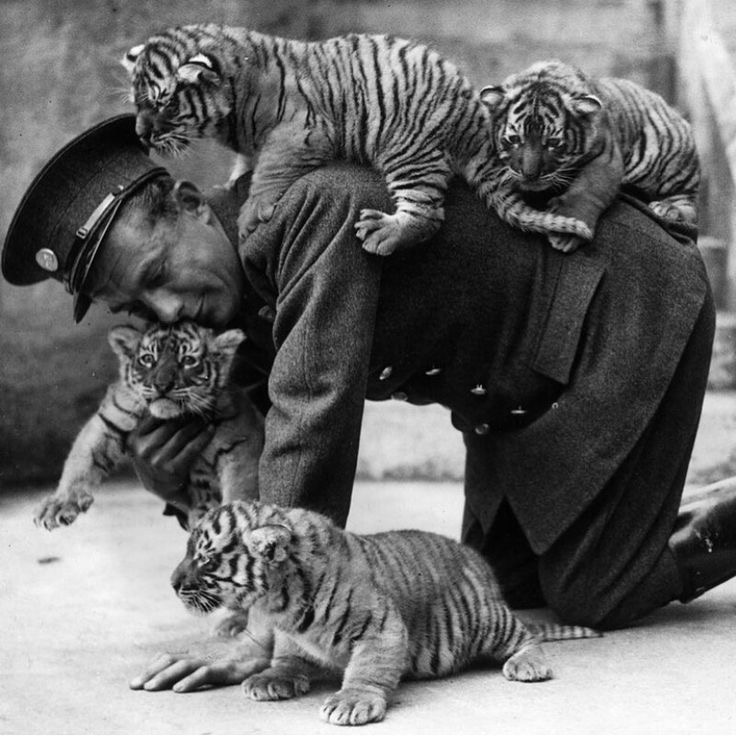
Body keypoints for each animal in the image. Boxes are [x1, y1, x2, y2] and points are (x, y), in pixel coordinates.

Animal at [34, 321, 264, 533]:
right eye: (147, 359)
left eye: (188, 361)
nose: (162, 385)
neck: (170, 417)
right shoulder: (108, 421)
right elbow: (81, 461)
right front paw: (58, 504)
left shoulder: (242, 441)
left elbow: (240, 489)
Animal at [121, 24, 593, 257]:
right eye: (137, 102)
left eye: (164, 103)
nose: (140, 133)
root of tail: (476, 117)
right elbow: (248, 162)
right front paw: (234, 179)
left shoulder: (301, 129)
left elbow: (271, 170)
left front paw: (252, 212)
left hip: (408, 148)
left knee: (427, 214)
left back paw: (384, 234)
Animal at [171, 499, 601, 726]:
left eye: (205, 559)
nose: (172, 583)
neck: (281, 600)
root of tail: (479, 565)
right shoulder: (291, 634)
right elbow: (287, 655)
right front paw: (273, 677)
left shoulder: (381, 627)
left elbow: (369, 668)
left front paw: (351, 702)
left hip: (486, 622)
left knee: (525, 636)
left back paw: (528, 664)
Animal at [479, 59, 700, 252]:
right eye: (515, 139)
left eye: (552, 143)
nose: (530, 174)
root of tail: (671, 110)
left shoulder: (606, 154)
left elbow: (588, 189)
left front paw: (567, 232)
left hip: (666, 160)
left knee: (689, 203)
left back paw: (668, 209)